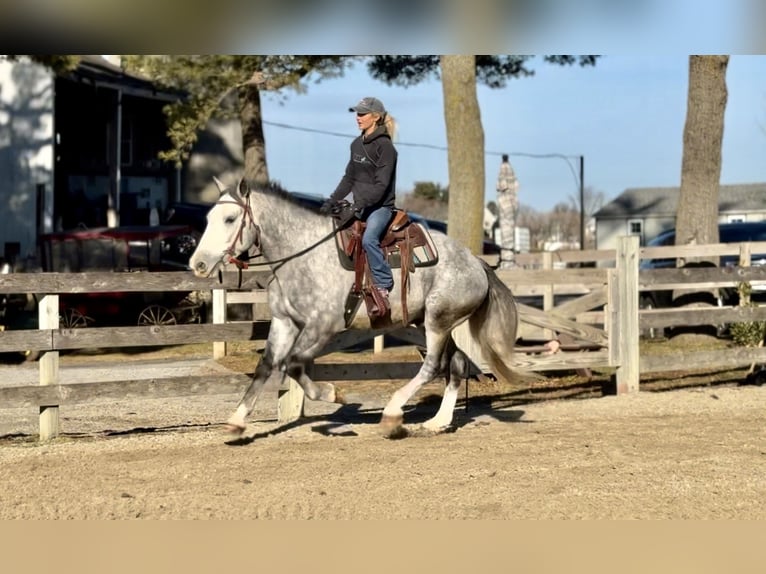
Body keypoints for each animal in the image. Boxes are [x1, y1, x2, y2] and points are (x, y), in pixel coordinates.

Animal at [189, 177, 519, 436]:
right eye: (209, 218)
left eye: (230, 219)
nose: (198, 264)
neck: (302, 254)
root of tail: (476, 263)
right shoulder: (285, 322)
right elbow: (267, 365)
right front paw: (236, 420)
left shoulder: (322, 326)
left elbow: (293, 364)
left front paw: (333, 394)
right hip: (434, 323)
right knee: (456, 365)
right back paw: (438, 421)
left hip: (438, 322)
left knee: (433, 366)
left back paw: (393, 411)